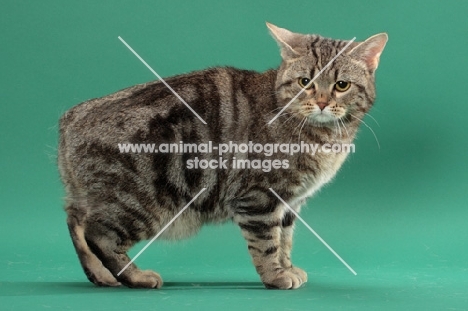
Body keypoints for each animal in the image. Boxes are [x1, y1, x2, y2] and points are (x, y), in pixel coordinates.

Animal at [58, 23, 388, 292]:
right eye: (305, 82)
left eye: (341, 85)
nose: (320, 102)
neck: (324, 138)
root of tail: (71, 117)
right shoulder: (259, 198)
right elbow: (267, 243)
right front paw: (276, 276)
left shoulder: (289, 203)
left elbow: (285, 240)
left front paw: (287, 267)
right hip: (142, 205)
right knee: (98, 235)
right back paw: (135, 276)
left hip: (91, 198)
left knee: (76, 222)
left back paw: (101, 276)